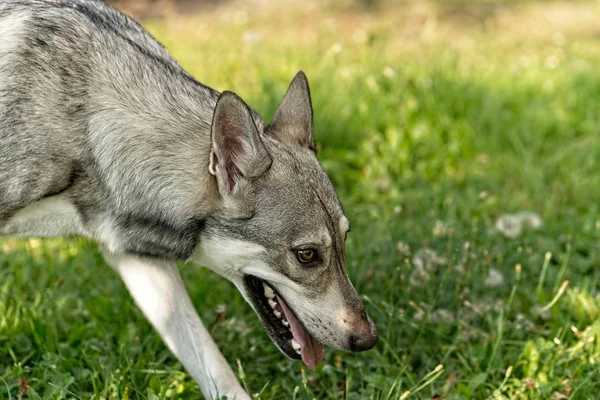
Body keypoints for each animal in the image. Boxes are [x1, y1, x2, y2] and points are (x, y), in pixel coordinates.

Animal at [0, 1, 376, 398]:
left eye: (344, 240)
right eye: (307, 255)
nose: (369, 340)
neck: (88, 128)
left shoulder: (139, 258)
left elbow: (213, 365)